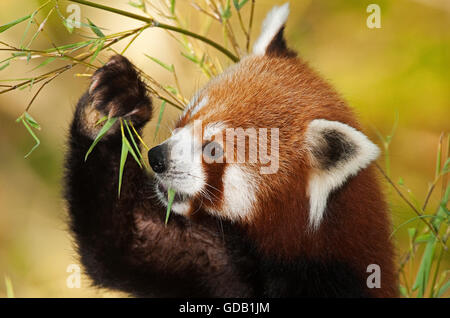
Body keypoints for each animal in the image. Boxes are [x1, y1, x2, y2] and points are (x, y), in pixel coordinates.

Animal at [64, 3, 398, 298]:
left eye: (212, 149)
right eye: (187, 117)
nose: (157, 158)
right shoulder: (220, 262)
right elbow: (127, 242)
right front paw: (112, 104)